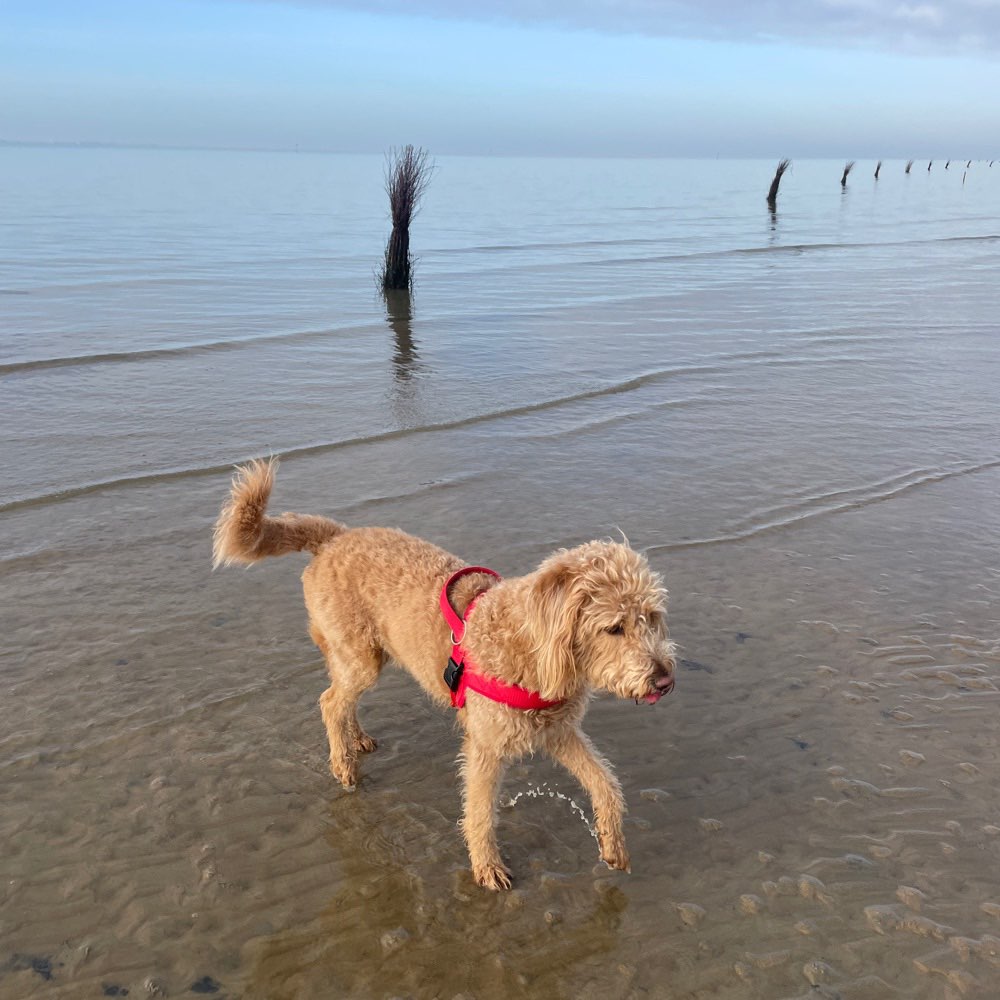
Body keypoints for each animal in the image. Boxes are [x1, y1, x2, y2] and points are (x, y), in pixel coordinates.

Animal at [214, 460, 676, 892]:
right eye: (613, 628)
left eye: (652, 617)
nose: (664, 680)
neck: (531, 650)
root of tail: (333, 536)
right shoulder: (485, 748)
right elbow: (480, 813)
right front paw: (487, 868)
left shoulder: (559, 732)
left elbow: (605, 783)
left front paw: (613, 844)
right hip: (361, 658)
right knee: (331, 702)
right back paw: (343, 765)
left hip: (358, 655)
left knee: (341, 698)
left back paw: (356, 739)